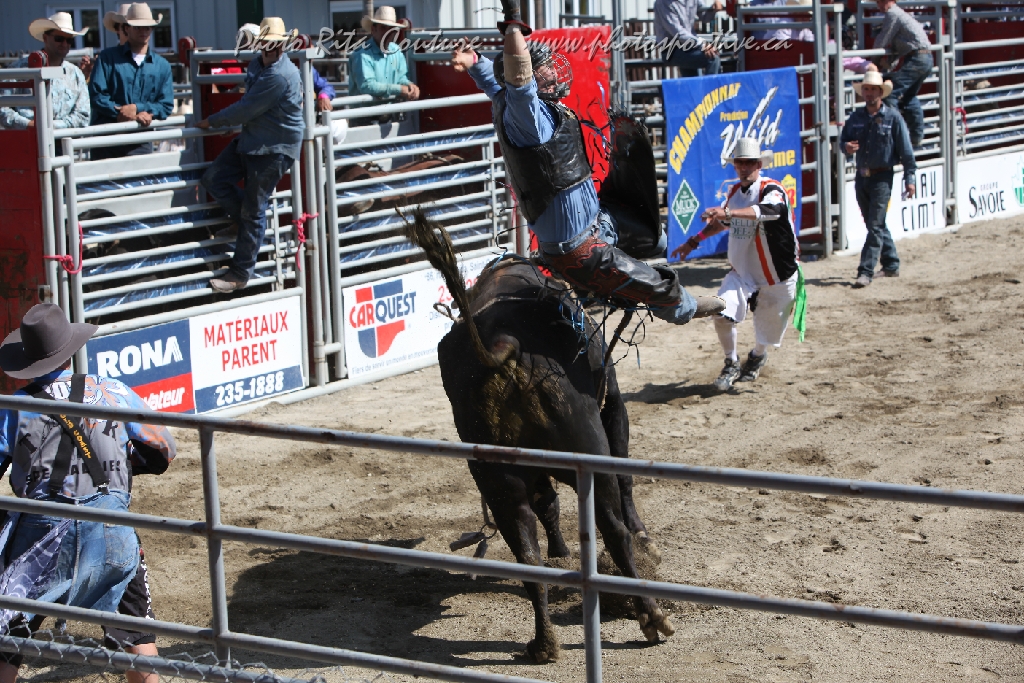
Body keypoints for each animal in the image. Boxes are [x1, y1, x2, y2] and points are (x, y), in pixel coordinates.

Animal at [404, 211, 675, 663]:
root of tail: (502, 345)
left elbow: (547, 504)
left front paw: (560, 552)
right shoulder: (614, 405)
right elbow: (626, 478)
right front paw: (644, 537)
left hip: (498, 480)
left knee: (525, 549)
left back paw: (544, 642)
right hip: (589, 451)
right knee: (613, 528)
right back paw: (650, 615)